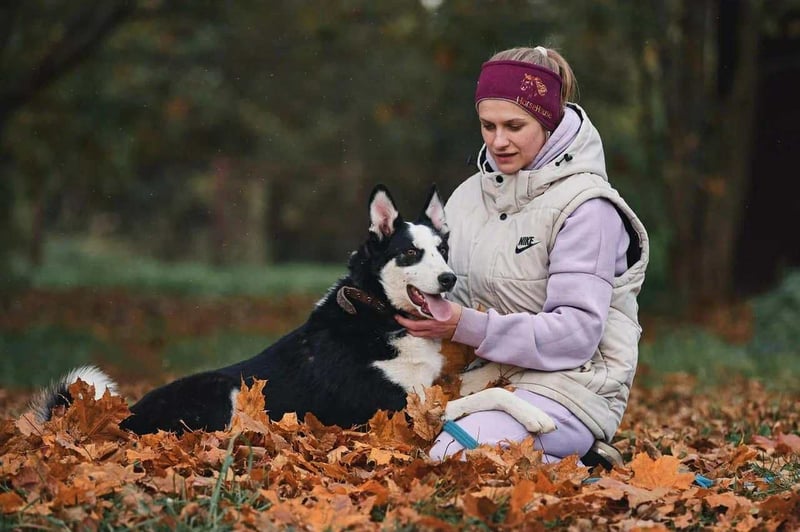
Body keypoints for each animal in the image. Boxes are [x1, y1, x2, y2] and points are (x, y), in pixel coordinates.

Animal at [31, 184, 556, 439]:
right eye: (410, 254)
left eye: (443, 251)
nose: (448, 280)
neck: (377, 314)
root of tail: (123, 418)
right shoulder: (396, 412)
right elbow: (475, 400)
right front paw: (535, 417)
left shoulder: (426, 389)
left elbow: (485, 386)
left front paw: (524, 397)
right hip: (226, 394)